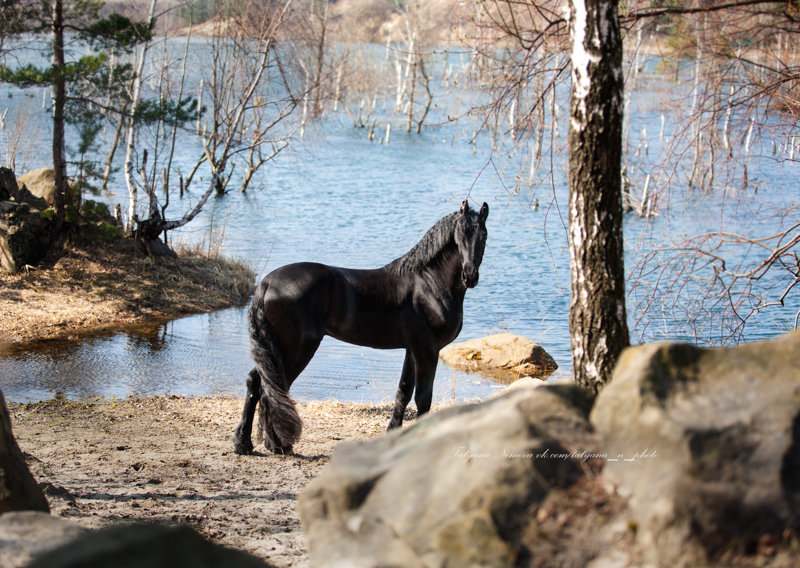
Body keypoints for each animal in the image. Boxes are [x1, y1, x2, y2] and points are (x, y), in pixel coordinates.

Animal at [233, 200, 488, 452]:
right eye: (459, 236)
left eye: (483, 236)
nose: (470, 276)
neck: (428, 282)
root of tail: (267, 283)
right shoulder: (427, 350)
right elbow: (423, 399)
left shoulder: (412, 349)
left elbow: (403, 392)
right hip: (296, 348)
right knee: (271, 383)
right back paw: (275, 444)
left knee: (258, 381)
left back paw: (249, 443)